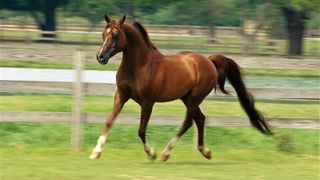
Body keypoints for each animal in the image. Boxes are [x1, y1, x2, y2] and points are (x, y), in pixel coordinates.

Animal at [89, 14, 272, 160]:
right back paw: (205, 151)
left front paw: (152, 153)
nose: (100, 57)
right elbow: (109, 121)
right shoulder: (121, 95)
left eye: (115, 35)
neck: (140, 66)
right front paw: (95, 152)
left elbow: (141, 130)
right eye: (103, 34)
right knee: (200, 119)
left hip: (194, 98)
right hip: (187, 97)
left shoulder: (148, 102)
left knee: (188, 122)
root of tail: (209, 60)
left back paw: (165, 154)